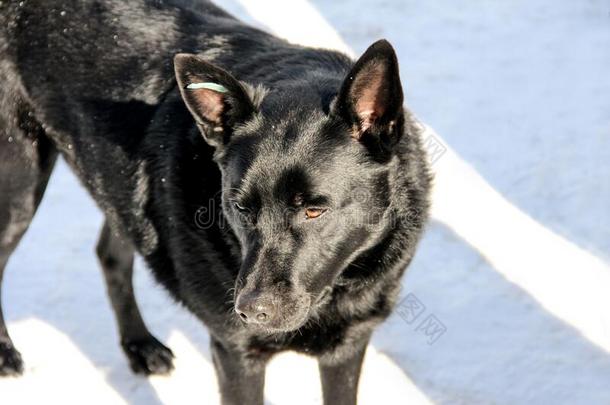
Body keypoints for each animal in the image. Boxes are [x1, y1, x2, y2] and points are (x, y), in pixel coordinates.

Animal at [0, 1, 428, 402]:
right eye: (241, 208)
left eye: (314, 209)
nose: (252, 311)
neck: (338, 289)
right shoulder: (236, 353)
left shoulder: (347, 347)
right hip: (20, 187)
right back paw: (6, 354)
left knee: (110, 252)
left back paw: (139, 345)